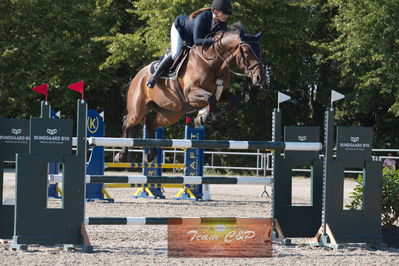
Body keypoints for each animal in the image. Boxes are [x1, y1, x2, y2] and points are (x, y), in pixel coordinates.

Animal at [114, 26, 268, 162]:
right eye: (246, 52)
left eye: (259, 50)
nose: (260, 78)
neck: (214, 63)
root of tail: (137, 76)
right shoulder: (191, 94)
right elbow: (210, 98)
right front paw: (203, 117)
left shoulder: (222, 94)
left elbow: (232, 100)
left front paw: (214, 117)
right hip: (138, 111)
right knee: (127, 122)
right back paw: (121, 155)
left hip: (170, 114)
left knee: (151, 124)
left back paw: (150, 155)